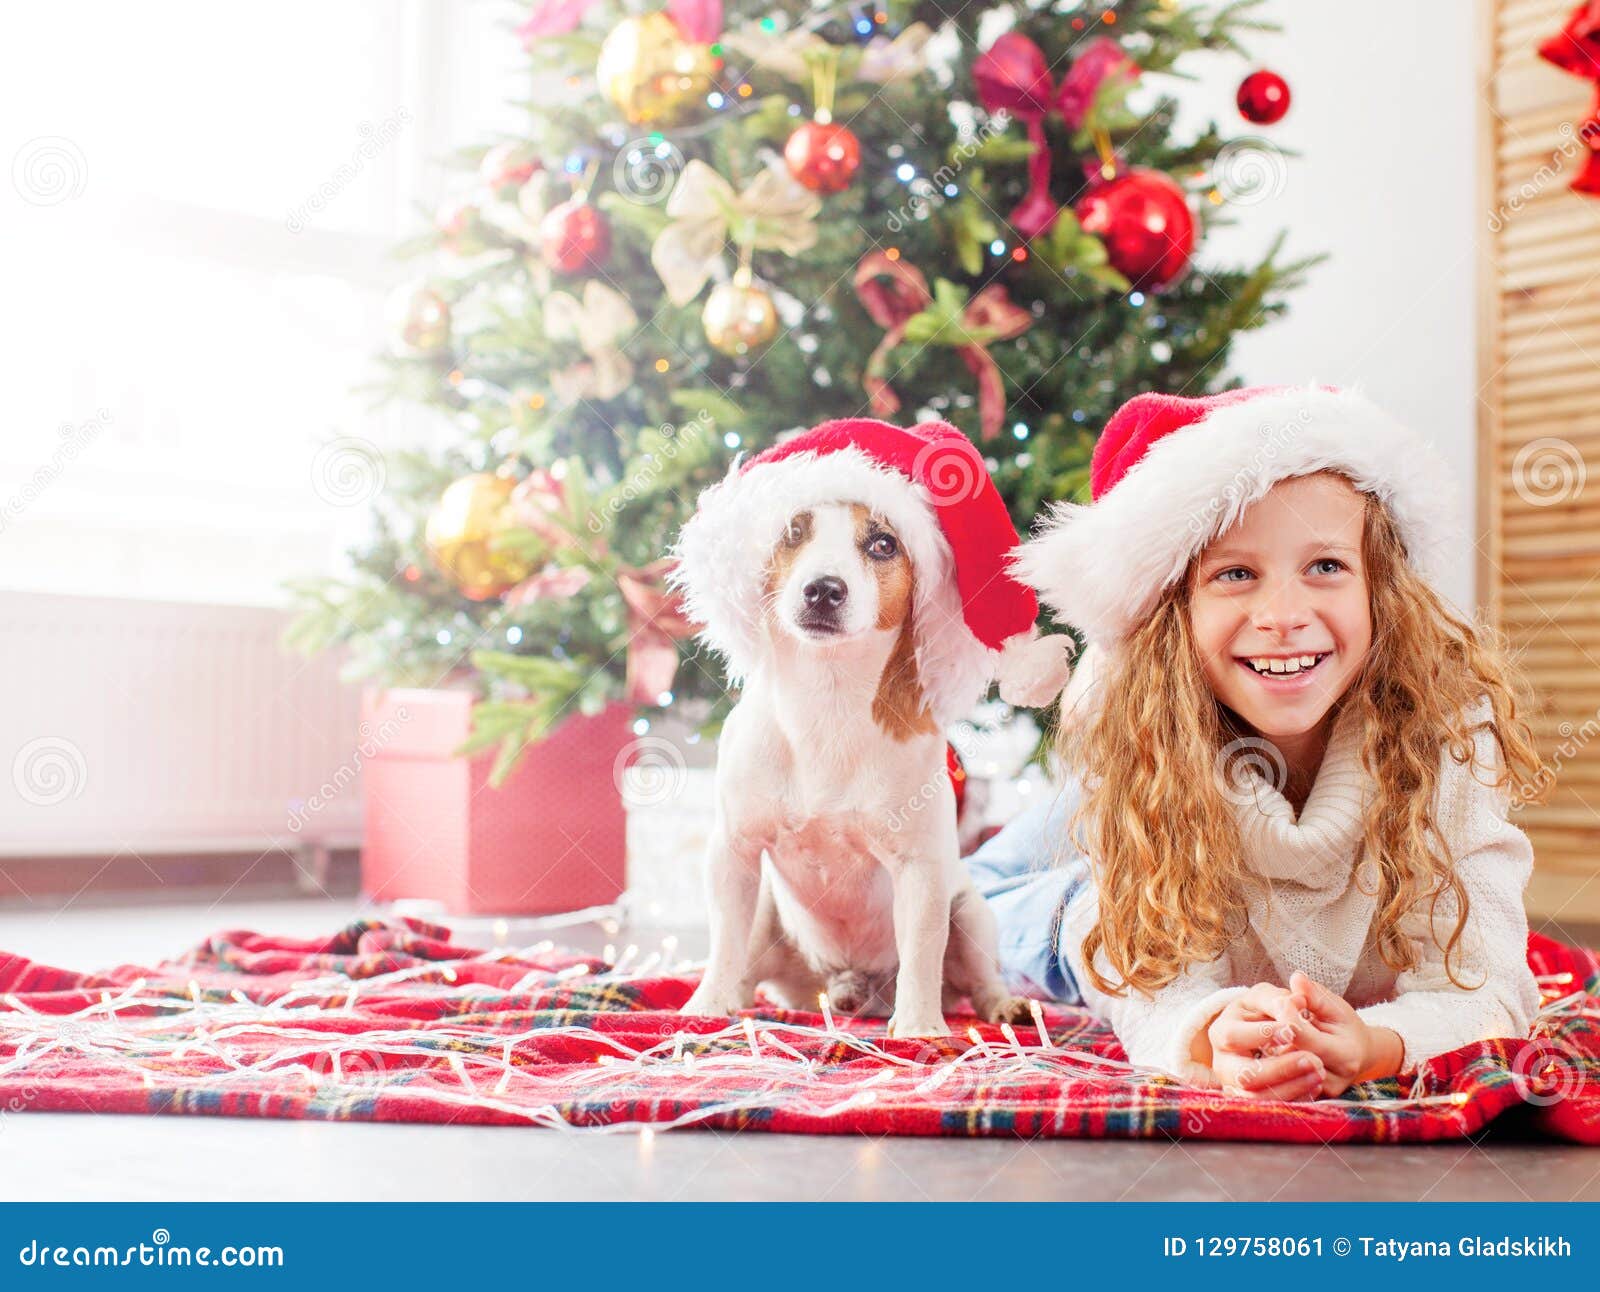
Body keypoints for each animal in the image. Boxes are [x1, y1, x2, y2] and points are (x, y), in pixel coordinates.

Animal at [668, 422, 1068, 1042]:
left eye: (883, 544)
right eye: (793, 532)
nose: (823, 589)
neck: (827, 701)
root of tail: (850, 988)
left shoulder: (921, 870)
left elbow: (923, 952)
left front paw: (921, 1028)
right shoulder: (734, 851)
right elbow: (724, 940)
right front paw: (705, 1005)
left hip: (970, 912)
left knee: (977, 981)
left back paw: (1001, 1007)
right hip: (768, 915)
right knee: (746, 958)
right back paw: (739, 997)